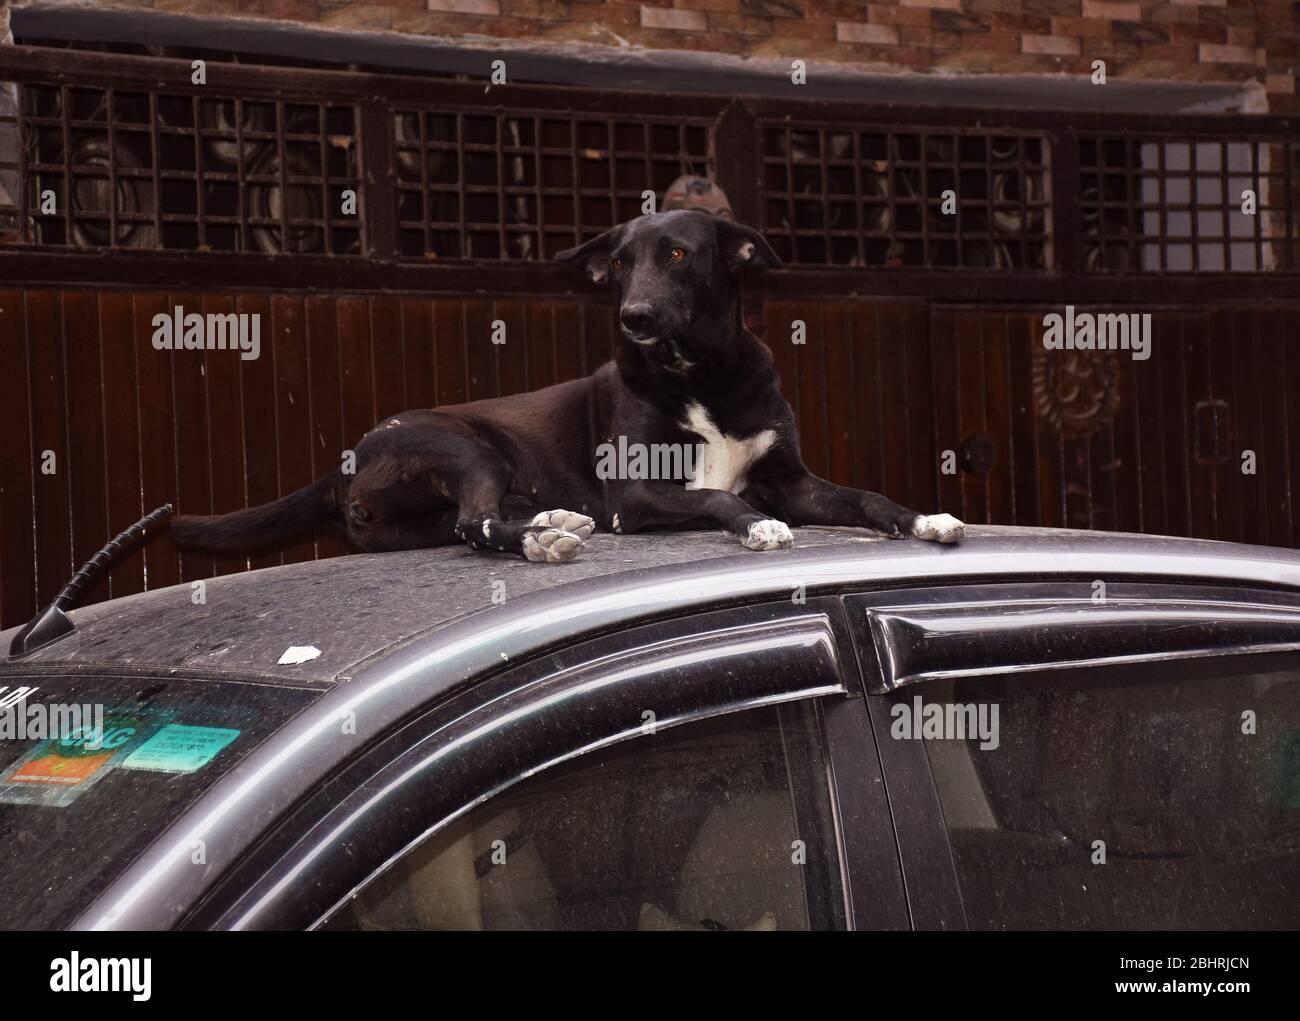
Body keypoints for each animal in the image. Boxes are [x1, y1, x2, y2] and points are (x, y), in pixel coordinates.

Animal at [170, 210, 967, 561]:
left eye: (678, 254)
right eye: (617, 264)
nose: (633, 316)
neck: (702, 373)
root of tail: (345, 460)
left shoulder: (792, 478)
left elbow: (868, 497)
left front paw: (924, 519)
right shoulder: (635, 495)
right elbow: (715, 495)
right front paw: (753, 526)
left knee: (466, 524)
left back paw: (547, 522)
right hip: (466, 446)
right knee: (475, 523)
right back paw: (545, 538)